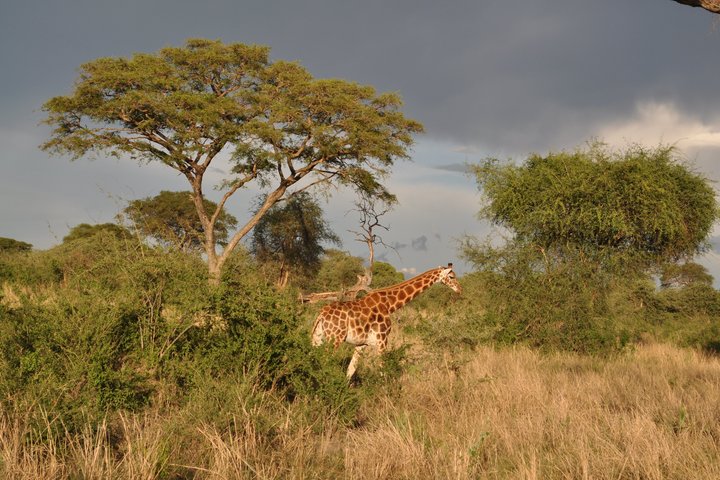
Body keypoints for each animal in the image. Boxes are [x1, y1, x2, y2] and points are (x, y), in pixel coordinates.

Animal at [311, 263, 462, 379]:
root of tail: (321, 315)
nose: (460, 290)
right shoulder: (382, 340)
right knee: (325, 362)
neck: (390, 305)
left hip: (318, 338)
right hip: (335, 339)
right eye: (451, 276)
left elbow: (350, 370)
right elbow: (382, 371)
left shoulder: (362, 344)